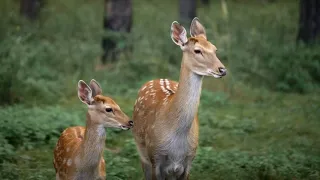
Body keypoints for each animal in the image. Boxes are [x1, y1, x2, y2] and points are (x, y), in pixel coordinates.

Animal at [131, 17, 226, 180]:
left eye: (215, 49)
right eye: (197, 50)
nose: (222, 70)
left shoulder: (189, 161)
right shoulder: (155, 158)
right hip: (142, 154)